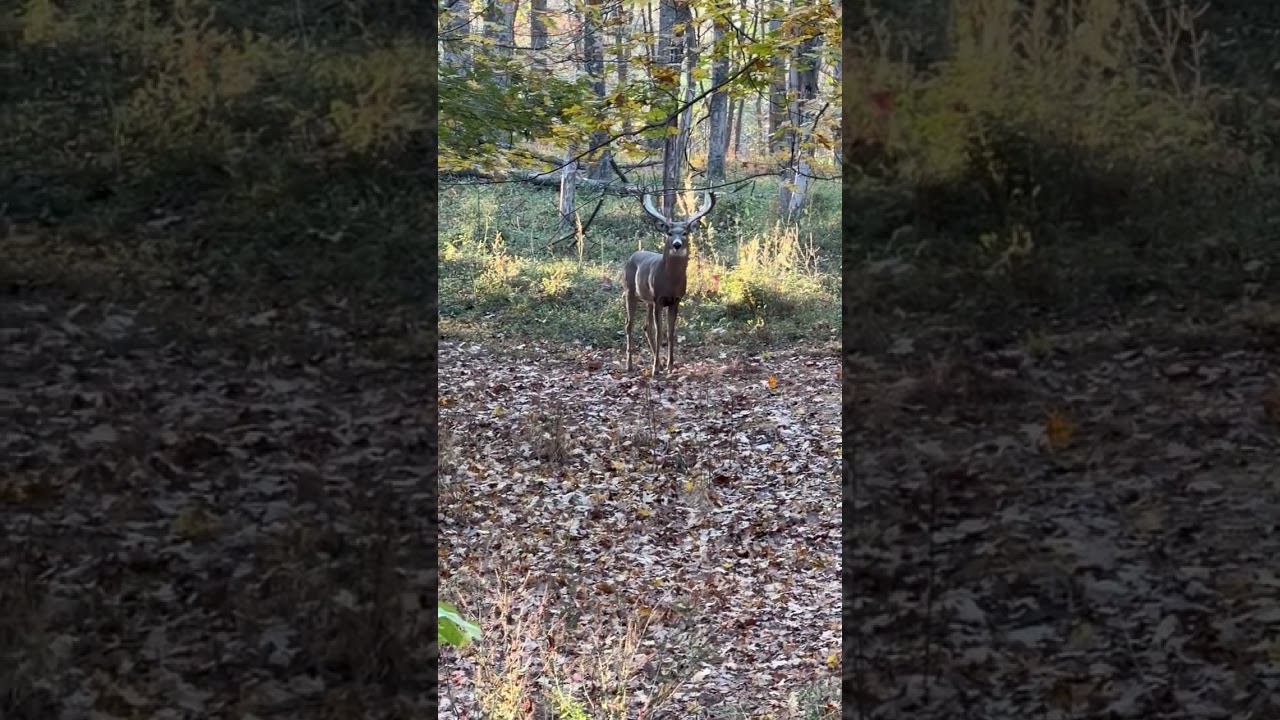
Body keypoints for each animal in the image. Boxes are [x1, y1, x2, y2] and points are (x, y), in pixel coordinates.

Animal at [624, 190, 717, 375]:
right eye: (669, 233)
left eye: (685, 233)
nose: (677, 244)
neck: (670, 282)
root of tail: (633, 255)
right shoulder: (659, 298)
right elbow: (660, 333)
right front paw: (655, 368)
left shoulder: (675, 300)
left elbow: (670, 333)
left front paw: (670, 366)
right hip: (630, 292)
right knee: (629, 325)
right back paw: (630, 365)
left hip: (648, 300)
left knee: (646, 327)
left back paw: (658, 363)